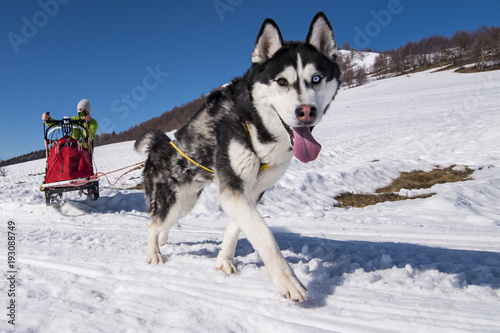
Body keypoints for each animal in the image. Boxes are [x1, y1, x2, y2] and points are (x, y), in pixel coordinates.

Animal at [135, 12, 342, 300]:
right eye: (282, 81)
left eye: (316, 78)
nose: (306, 112)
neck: (253, 122)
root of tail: (158, 145)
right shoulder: (233, 188)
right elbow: (263, 233)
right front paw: (287, 280)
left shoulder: (251, 192)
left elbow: (238, 227)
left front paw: (224, 261)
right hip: (173, 204)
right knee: (152, 225)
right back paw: (154, 254)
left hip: (186, 203)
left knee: (161, 225)